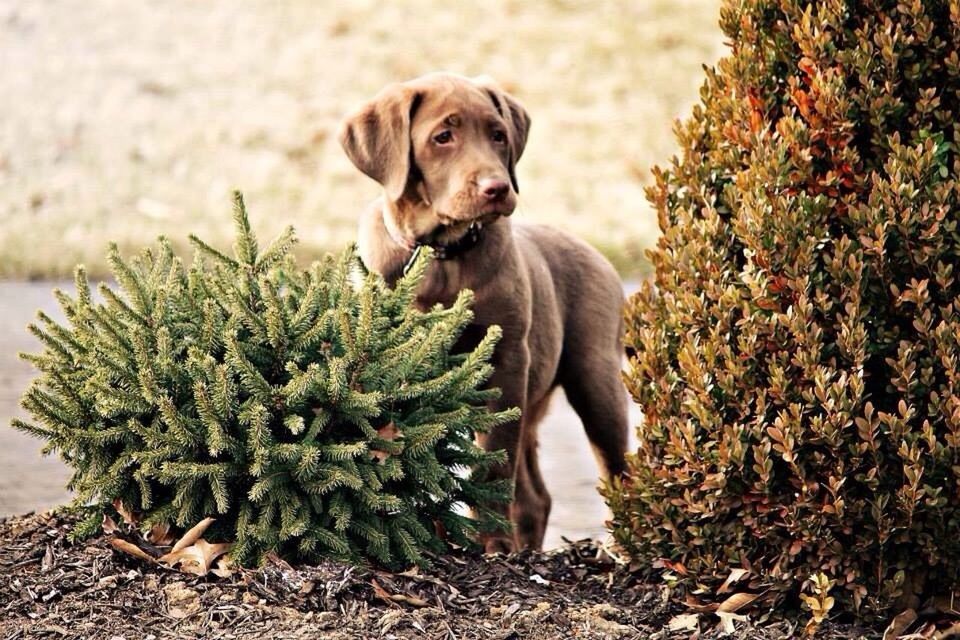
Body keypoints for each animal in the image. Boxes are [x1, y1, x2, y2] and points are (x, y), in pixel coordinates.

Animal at [338, 71, 632, 552]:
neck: (442, 256)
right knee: (535, 496)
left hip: (596, 380)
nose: (497, 189)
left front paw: (491, 545)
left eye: (498, 135)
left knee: (615, 470)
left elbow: (491, 466)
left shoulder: (504, 361)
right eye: (443, 137)